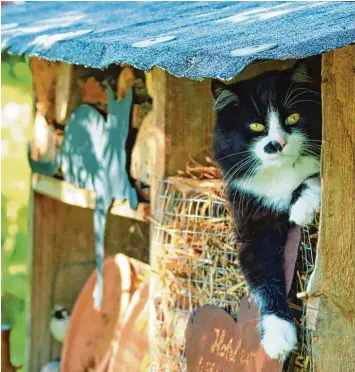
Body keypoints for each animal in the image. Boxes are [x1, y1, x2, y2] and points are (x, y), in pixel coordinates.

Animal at [213, 61, 324, 360]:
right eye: (256, 125)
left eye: (293, 117)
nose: (277, 144)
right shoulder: (252, 227)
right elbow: (262, 280)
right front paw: (278, 336)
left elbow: (315, 176)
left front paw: (302, 207)